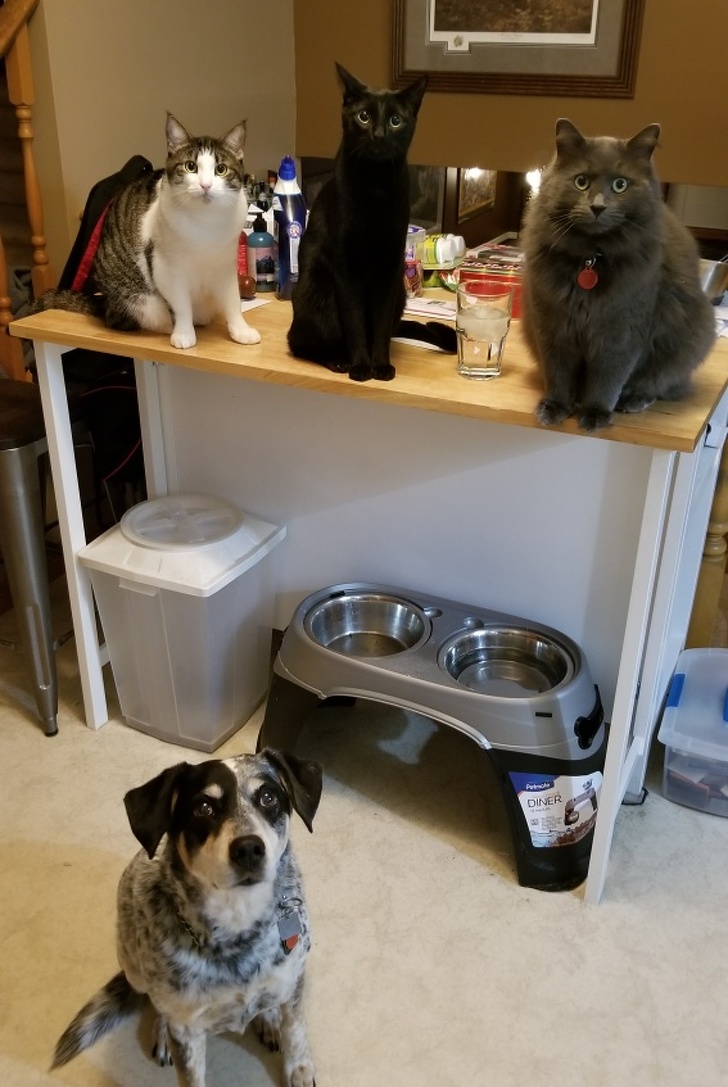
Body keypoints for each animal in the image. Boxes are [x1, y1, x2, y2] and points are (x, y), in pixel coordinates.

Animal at [32, 114, 259, 350]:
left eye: (221, 169)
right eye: (190, 167)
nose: (205, 185)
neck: (205, 222)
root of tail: (101, 302)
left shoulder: (225, 266)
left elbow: (233, 301)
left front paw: (241, 330)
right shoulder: (166, 268)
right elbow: (180, 305)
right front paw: (183, 333)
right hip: (138, 299)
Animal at [52, 749, 322, 1087]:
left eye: (268, 797)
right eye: (203, 808)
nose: (248, 848)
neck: (239, 926)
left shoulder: (295, 978)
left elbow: (295, 1029)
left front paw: (299, 1068)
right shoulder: (186, 1028)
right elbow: (190, 1070)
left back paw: (269, 1018)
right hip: (132, 965)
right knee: (157, 1004)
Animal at [287, 63, 453, 382]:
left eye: (395, 120)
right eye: (363, 116)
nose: (378, 134)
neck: (376, 185)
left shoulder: (389, 267)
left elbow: (380, 327)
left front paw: (381, 365)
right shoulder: (346, 268)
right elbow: (355, 324)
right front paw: (362, 367)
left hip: (400, 292)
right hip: (319, 290)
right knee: (300, 343)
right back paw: (338, 360)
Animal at [520, 118, 715, 431]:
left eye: (620, 185)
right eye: (581, 181)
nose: (598, 206)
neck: (590, 259)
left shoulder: (621, 331)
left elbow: (608, 378)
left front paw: (596, 413)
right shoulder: (552, 325)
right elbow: (558, 373)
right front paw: (555, 407)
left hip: (688, 341)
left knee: (658, 382)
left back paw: (633, 399)